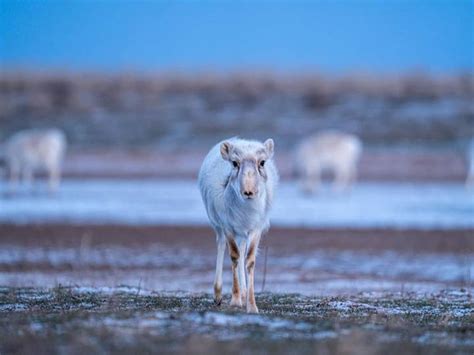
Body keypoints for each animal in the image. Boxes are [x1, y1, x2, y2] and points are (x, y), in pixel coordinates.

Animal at [197, 138, 278, 312]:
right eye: (234, 163)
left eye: (262, 162)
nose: (248, 192)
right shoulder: (228, 226)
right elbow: (234, 256)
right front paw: (235, 300)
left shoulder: (255, 228)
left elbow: (249, 260)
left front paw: (251, 305)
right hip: (218, 226)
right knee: (221, 246)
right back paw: (218, 295)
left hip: (242, 234)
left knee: (241, 251)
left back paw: (244, 292)